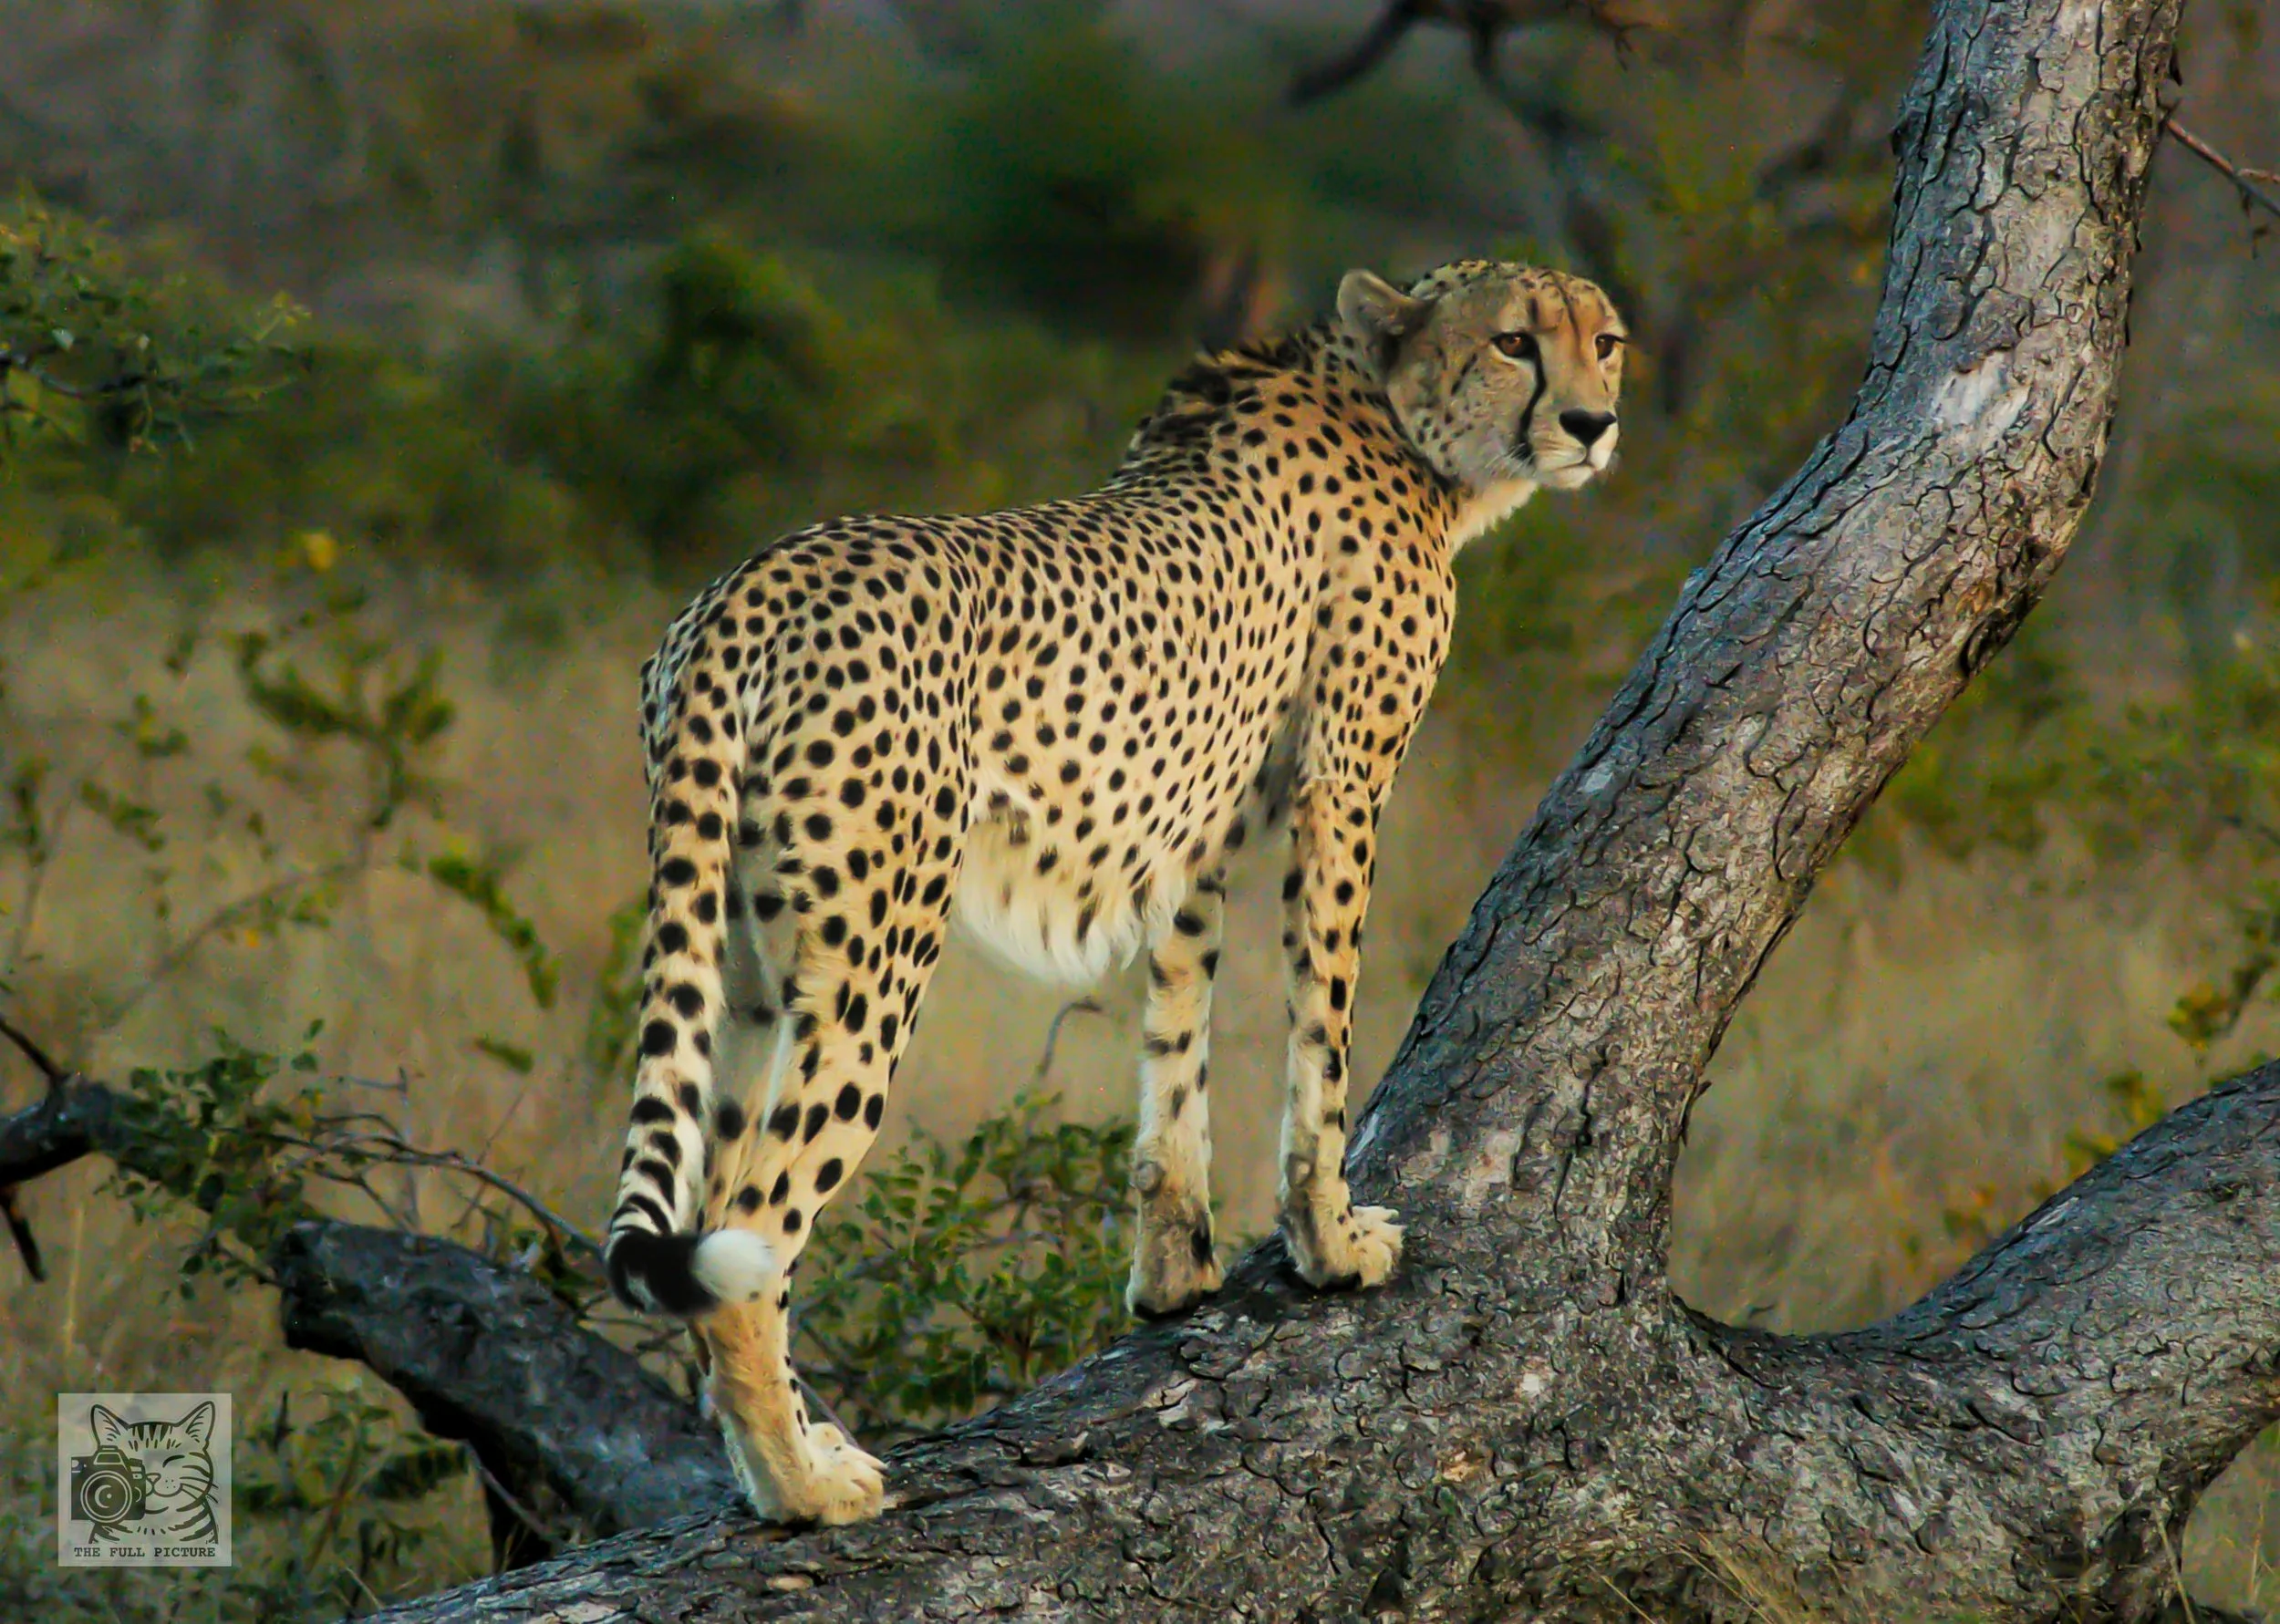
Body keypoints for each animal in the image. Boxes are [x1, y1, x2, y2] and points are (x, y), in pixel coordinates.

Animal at [602, 257, 1627, 1525]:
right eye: (1514, 342)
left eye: (1605, 341)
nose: (1591, 423)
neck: (1394, 417)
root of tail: (747, 587)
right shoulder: (1342, 782)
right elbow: (1323, 1031)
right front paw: (1332, 1243)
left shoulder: (1192, 823)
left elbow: (1176, 1037)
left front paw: (1175, 1269)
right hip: (875, 950)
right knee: (753, 1234)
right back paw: (805, 1488)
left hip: (741, 958)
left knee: (714, 1203)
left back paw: (783, 1458)